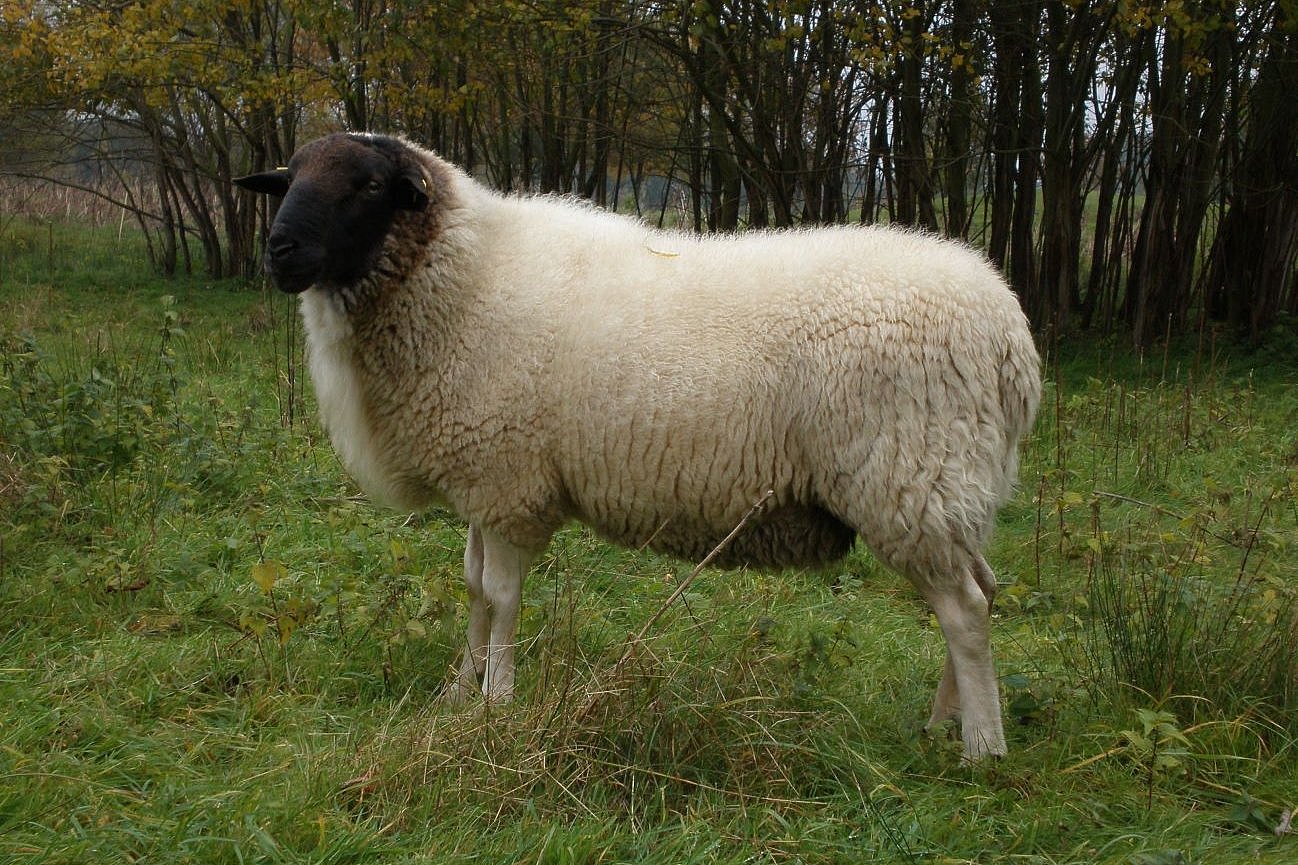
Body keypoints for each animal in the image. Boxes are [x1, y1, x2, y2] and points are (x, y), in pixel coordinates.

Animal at [233, 131, 1043, 758]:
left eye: (369, 185)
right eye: (289, 178)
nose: (279, 250)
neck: (462, 277)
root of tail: (1011, 337)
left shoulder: (509, 481)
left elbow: (501, 595)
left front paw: (497, 702)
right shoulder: (484, 478)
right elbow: (473, 589)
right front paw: (457, 693)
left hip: (910, 476)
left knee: (965, 610)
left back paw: (982, 748)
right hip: (947, 485)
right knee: (979, 590)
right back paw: (942, 723)